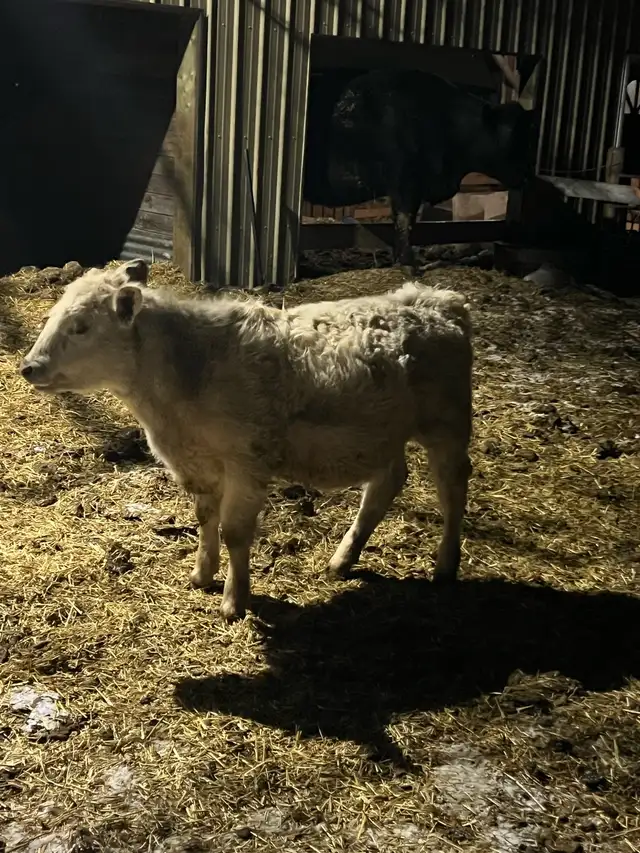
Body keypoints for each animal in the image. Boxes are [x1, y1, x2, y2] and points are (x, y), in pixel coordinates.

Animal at [20, 260, 473, 622]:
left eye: (80, 326)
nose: (29, 366)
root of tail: (439, 299)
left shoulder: (246, 464)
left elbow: (235, 531)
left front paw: (234, 602)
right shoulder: (197, 465)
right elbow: (205, 519)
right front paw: (201, 574)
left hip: (448, 425)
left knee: (452, 486)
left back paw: (445, 567)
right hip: (383, 434)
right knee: (386, 483)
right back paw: (343, 559)